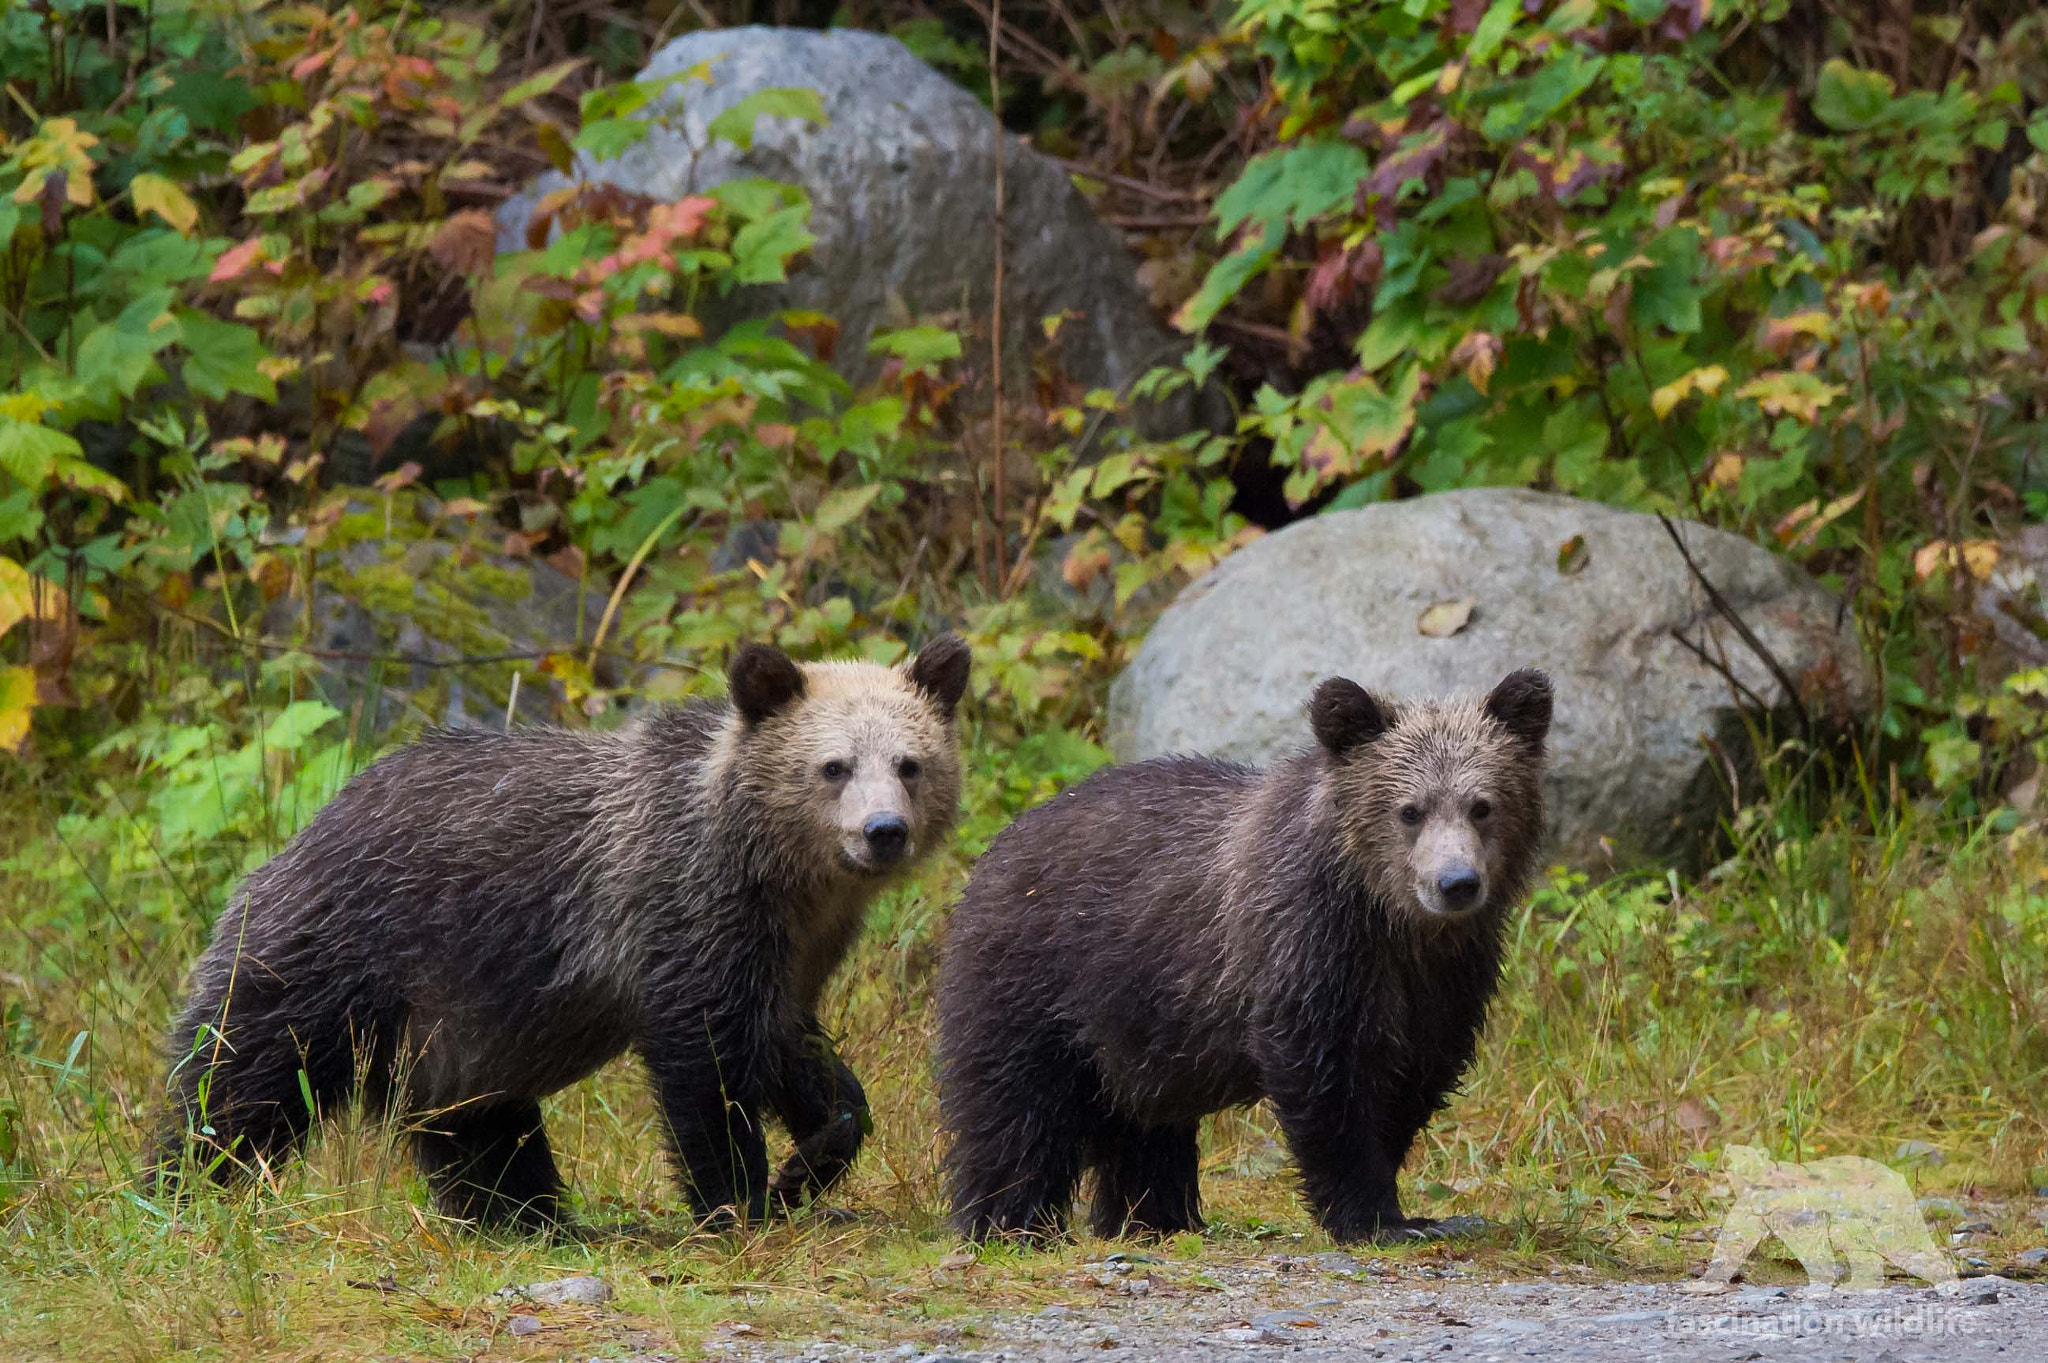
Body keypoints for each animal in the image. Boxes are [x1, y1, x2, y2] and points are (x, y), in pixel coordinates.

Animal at [156, 633, 972, 1234]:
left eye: (910, 762)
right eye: (834, 766)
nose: (884, 832)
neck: (776, 869)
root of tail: (300, 833)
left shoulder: (791, 951)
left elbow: (799, 1056)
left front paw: (810, 1161)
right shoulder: (683, 909)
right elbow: (705, 1064)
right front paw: (739, 1198)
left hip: (458, 1024)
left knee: (479, 1123)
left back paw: (527, 1216)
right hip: (340, 952)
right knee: (238, 1080)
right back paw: (178, 1188)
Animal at [935, 668, 1551, 1245]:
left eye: (1482, 805)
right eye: (1410, 810)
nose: (1456, 883)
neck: (1390, 921)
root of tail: (997, 845)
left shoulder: (1448, 978)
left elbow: (1413, 1078)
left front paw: (1407, 1208)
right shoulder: (1305, 945)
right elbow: (1327, 1082)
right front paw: (1372, 1216)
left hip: (1138, 1022)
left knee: (1143, 1124)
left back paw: (1153, 1218)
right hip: (1035, 978)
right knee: (1015, 1109)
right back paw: (1009, 1223)